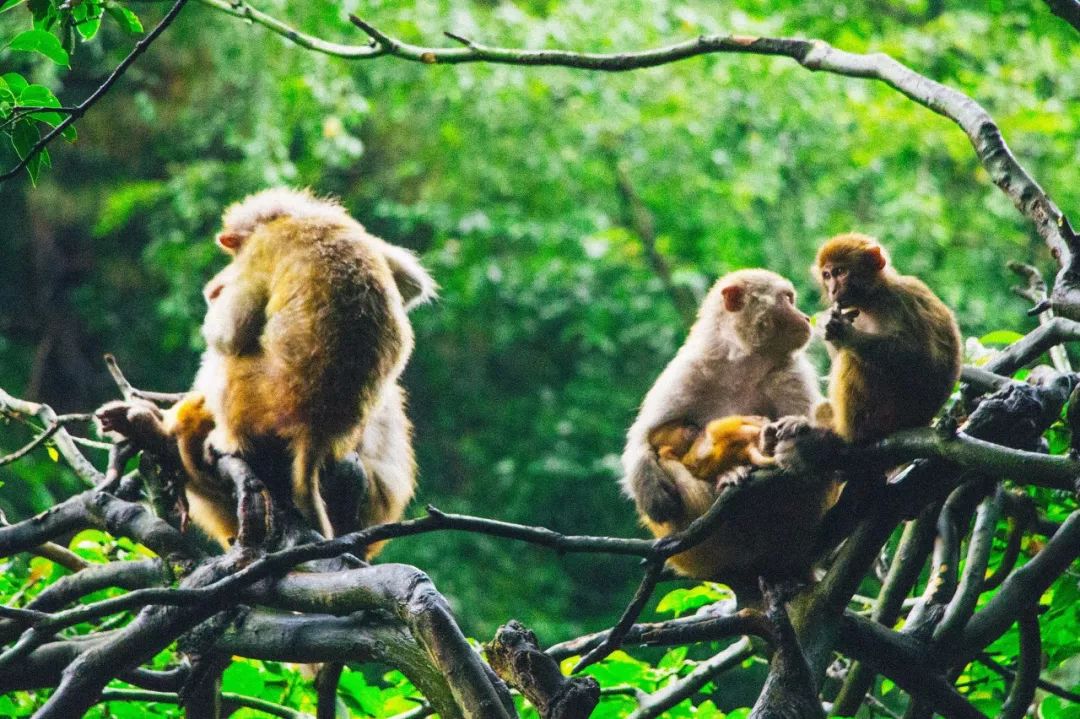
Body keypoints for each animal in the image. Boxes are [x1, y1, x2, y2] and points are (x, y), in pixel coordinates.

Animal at [622, 268, 838, 582]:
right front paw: (648, 485)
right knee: (668, 461)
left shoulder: (789, 373)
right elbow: (642, 438)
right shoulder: (688, 370)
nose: (804, 316)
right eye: (788, 299)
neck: (744, 362)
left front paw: (802, 445)